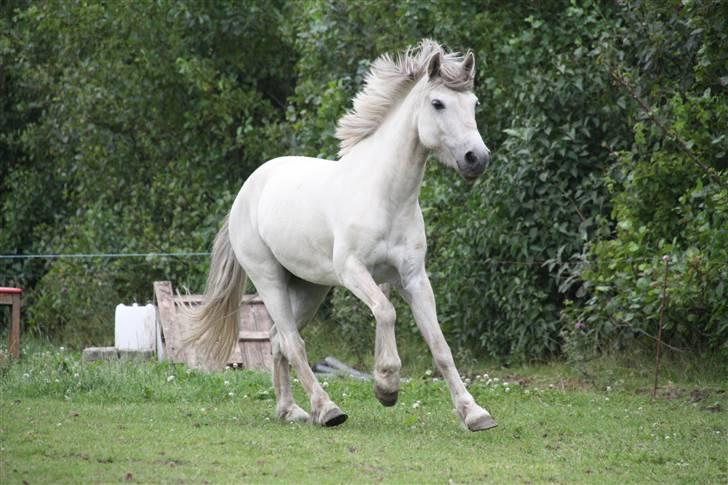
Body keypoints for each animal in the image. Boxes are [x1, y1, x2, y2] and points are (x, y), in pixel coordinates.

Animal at [185, 38, 498, 432]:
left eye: (474, 104)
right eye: (437, 103)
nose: (477, 158)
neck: (386, 196)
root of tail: (245, 192)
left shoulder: (413, 277)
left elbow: (439, 345)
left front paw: (475, 413)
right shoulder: (352, 271)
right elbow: (386, 313)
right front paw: (386, 386)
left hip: (309, 288)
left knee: (277, 340)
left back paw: (290, 410)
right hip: (269, 280)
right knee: (293, 341)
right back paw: (326, 409)